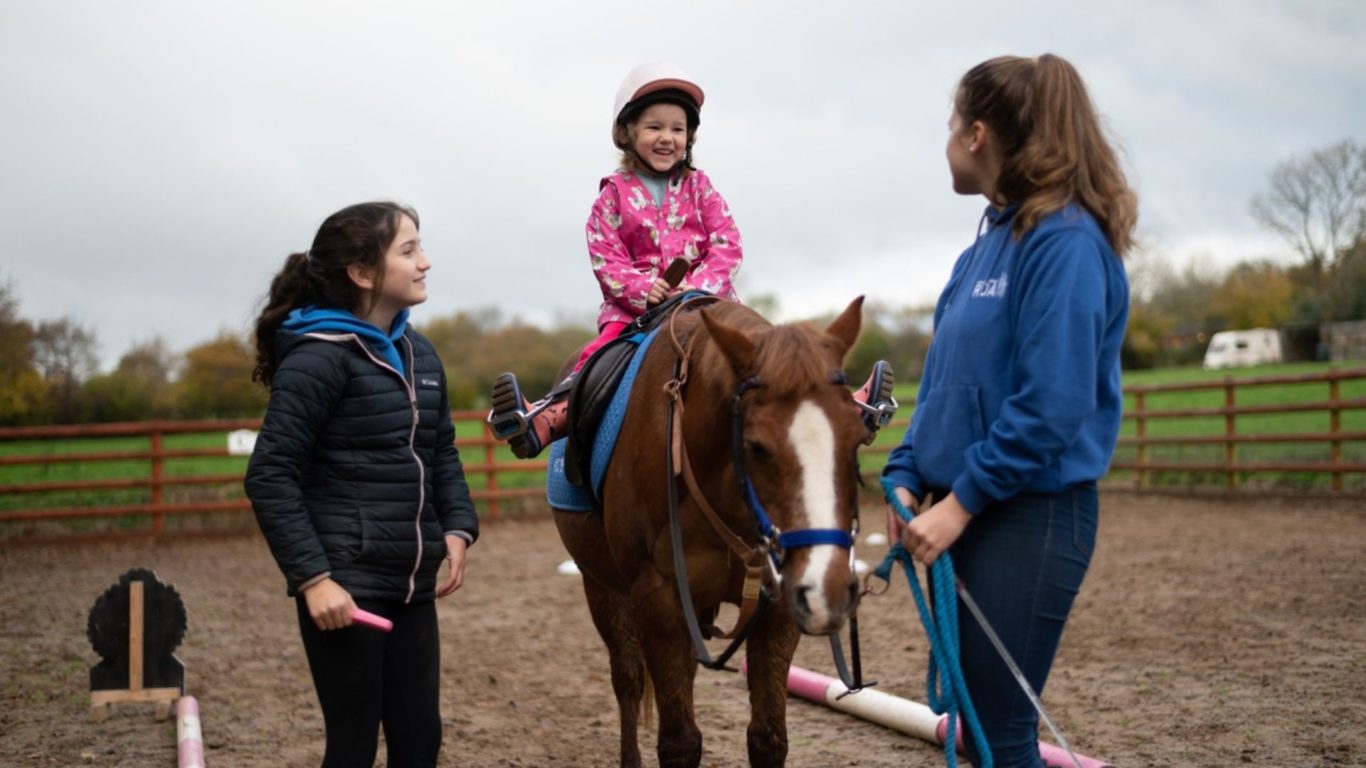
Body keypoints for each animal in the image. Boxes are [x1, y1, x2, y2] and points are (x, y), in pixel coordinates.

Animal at [551, 296, 863, 765]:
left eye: (857, 439)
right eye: (757, 447)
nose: (827, 589)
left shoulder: (778, 604)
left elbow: (768, 738)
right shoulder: (659, 599)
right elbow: (679, 741)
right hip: (602, 586)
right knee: (628, 680)